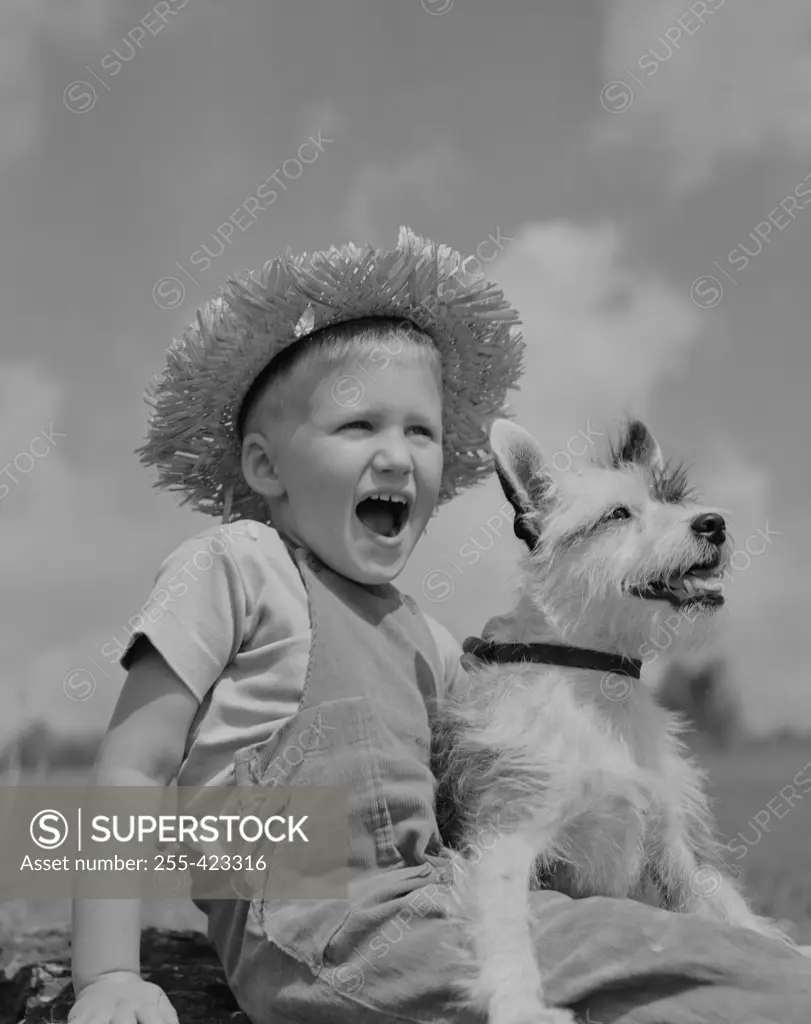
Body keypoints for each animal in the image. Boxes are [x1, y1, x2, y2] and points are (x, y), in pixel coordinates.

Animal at [430, 415, 790, 1024]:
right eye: (618, 514)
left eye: (674, 498)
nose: (714, 523)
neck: (597, 678)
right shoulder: (504, 838)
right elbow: (506, 926)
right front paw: (519, 1003)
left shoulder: (674, 850)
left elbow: (731, 917)